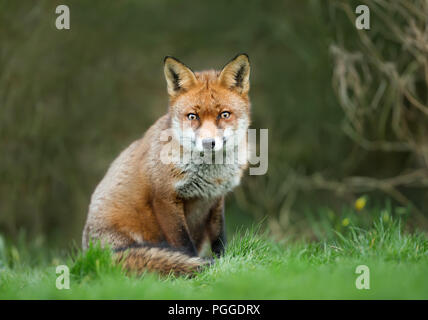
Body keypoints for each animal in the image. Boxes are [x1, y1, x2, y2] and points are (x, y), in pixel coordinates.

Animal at [81, 53, 251, 276]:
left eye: (224, 114)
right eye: (192, 116)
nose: (208, 142)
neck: (210, 174)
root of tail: (88, 255)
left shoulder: (215, 199)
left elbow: (219, 239)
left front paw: (224, 262)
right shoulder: (164, 198)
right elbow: (184, 245)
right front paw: (197, 266)